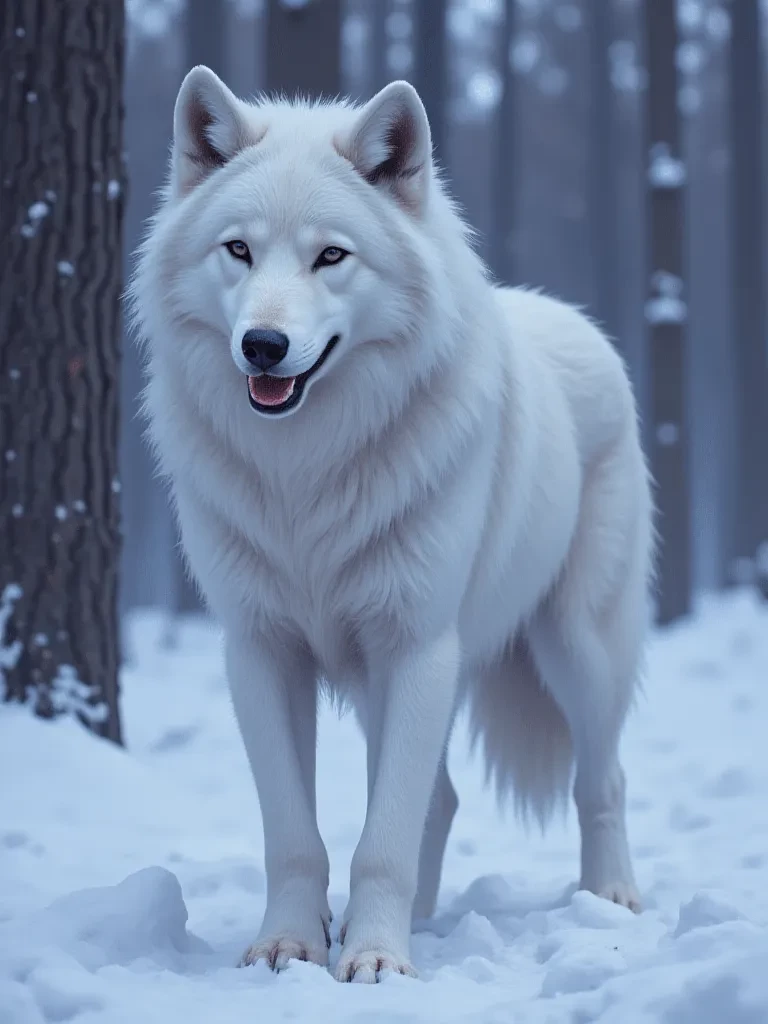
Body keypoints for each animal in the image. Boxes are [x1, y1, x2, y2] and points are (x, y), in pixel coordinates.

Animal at [130, 65, 655, 983]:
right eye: (239, 251)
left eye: (330, 256)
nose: (262, 345)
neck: (304, 476)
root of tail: (570, 317)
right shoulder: (259, 650)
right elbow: (297, 834)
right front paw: (291, 946)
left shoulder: (415, 646)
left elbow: (382, 837)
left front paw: (375, 959)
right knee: (440, 799)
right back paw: (428, 917)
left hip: (579, 650)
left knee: (601, 781)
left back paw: (609, 901)